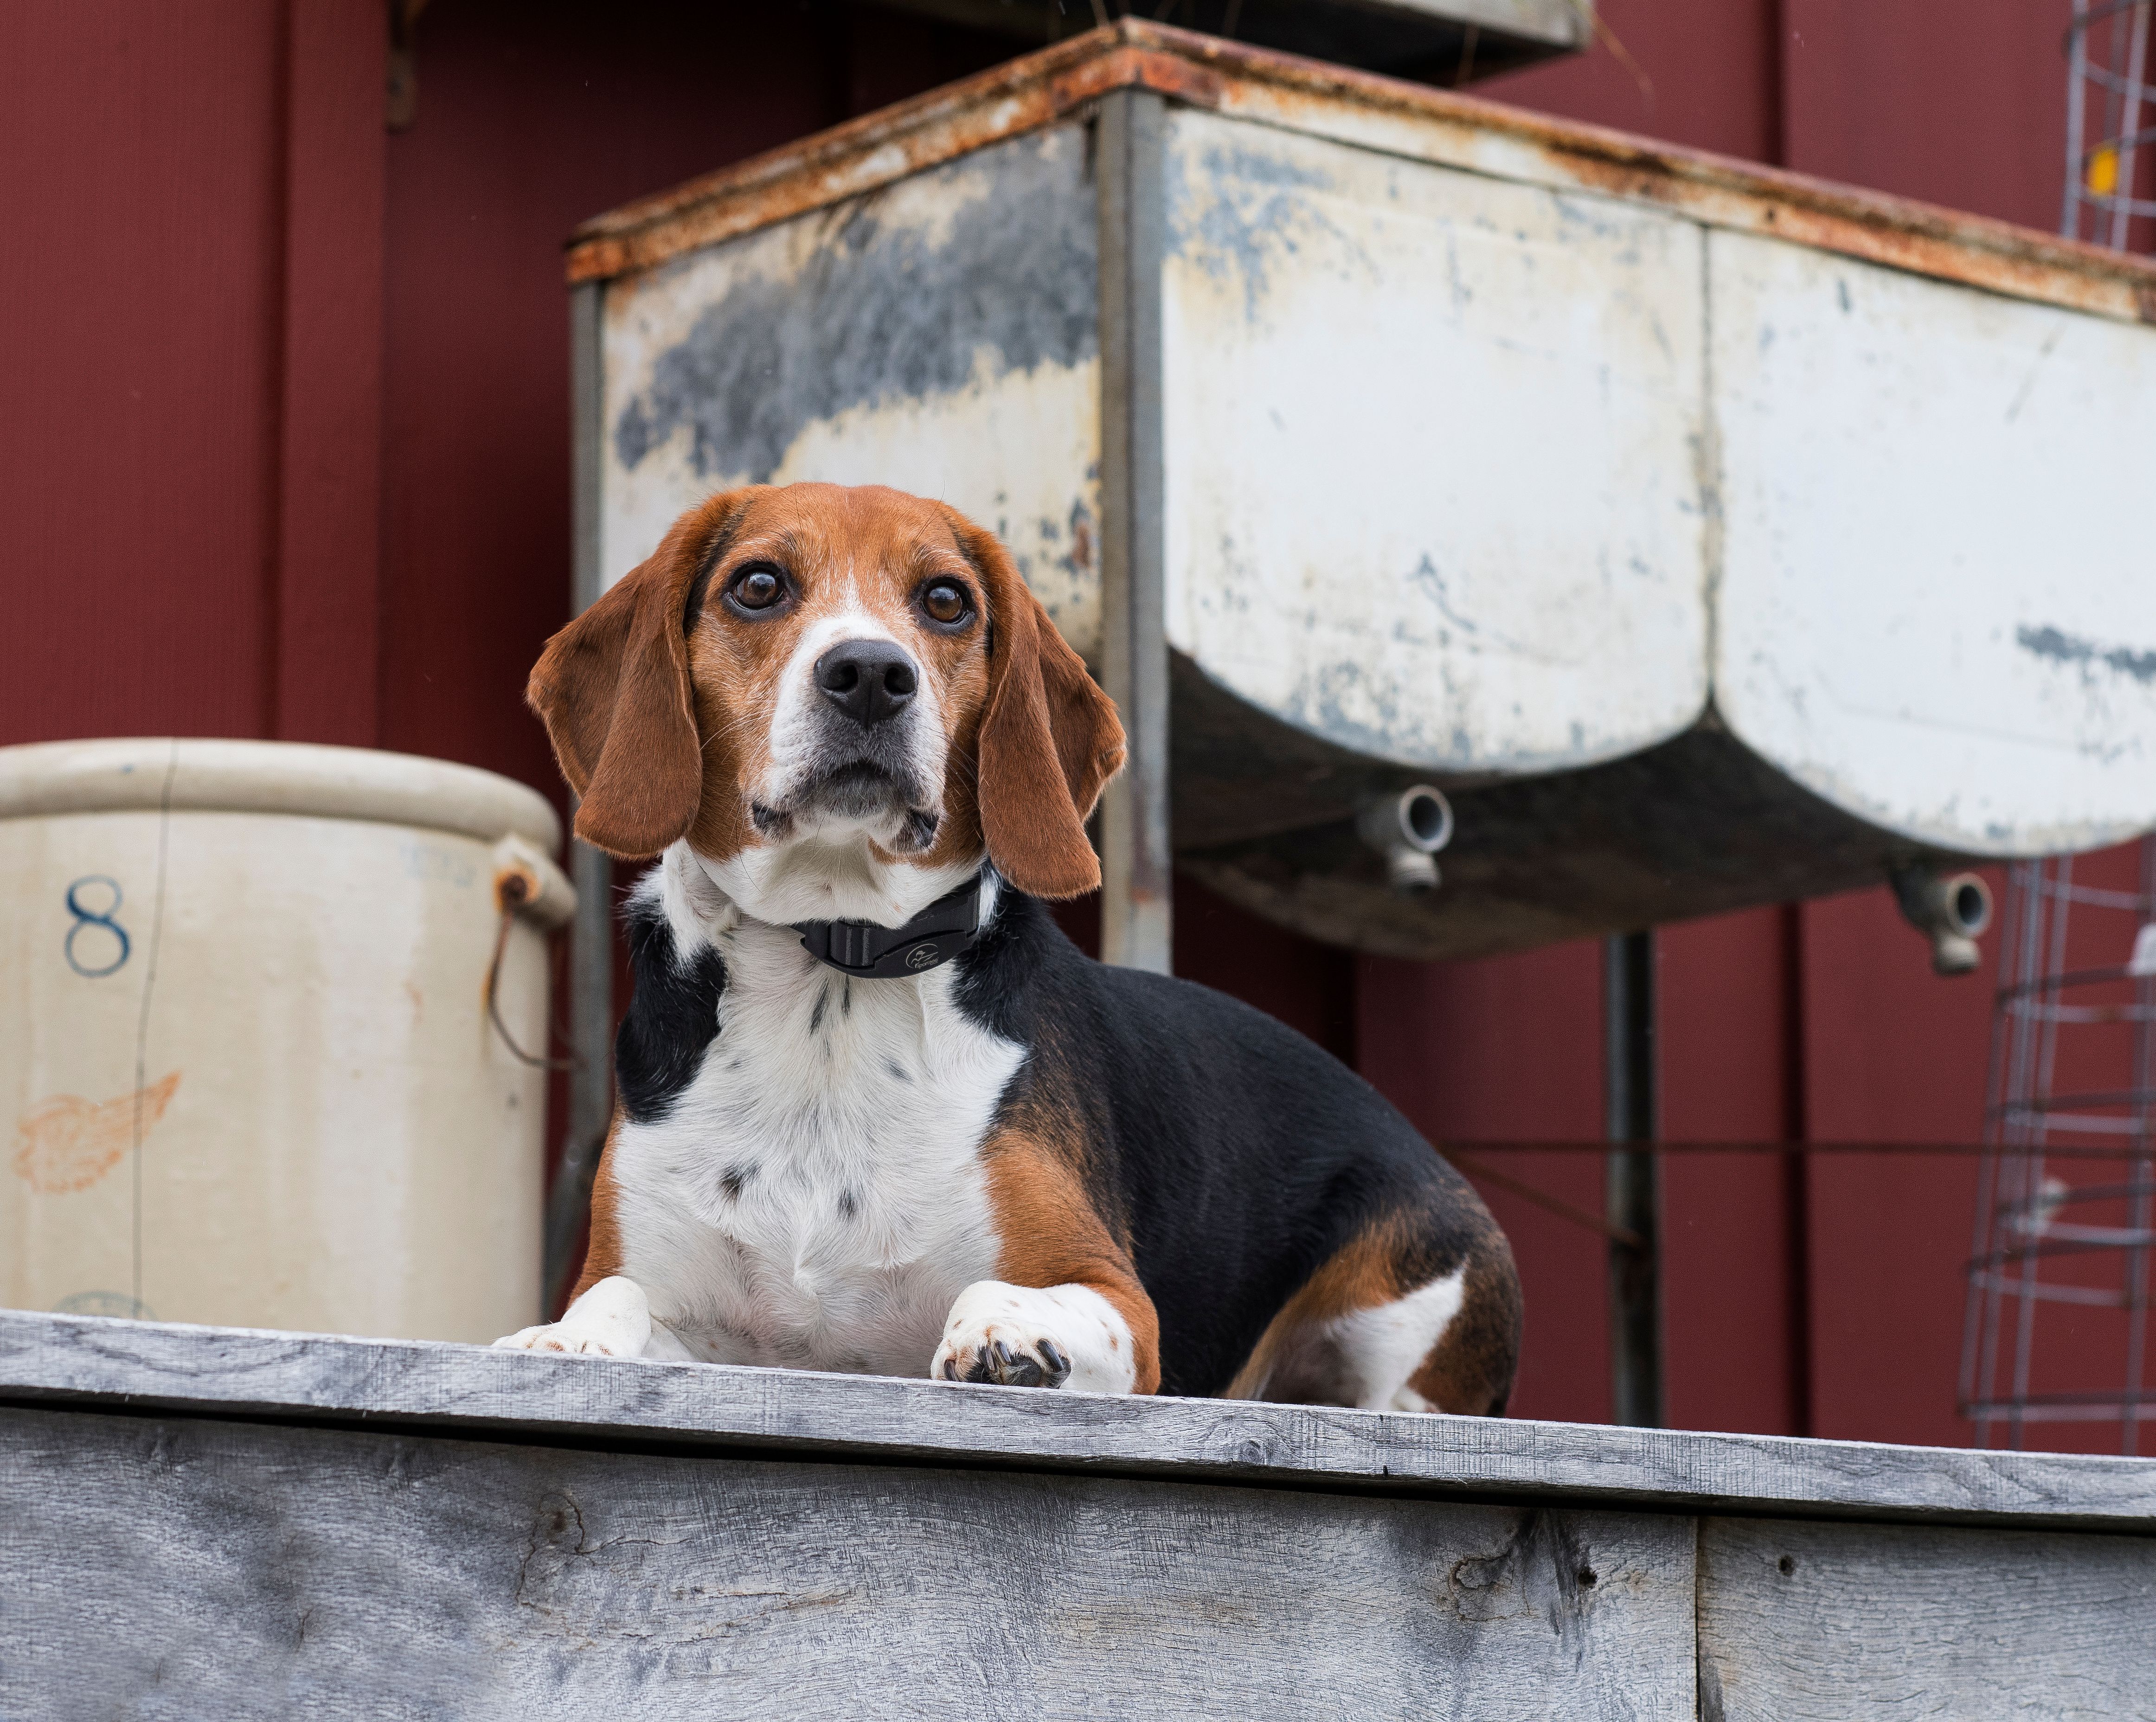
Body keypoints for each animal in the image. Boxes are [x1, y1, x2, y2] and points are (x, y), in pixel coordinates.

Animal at [498, 485, 1526, 1414]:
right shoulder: (682, 1299)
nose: (870, 672)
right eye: (757, 585)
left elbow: (1004, 1287)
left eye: (946, 600)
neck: (833, 969)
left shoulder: (1114, 1296)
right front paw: (566, 1335)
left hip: (1407, 1318)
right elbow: (616, 1292)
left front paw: (1007, 1330)